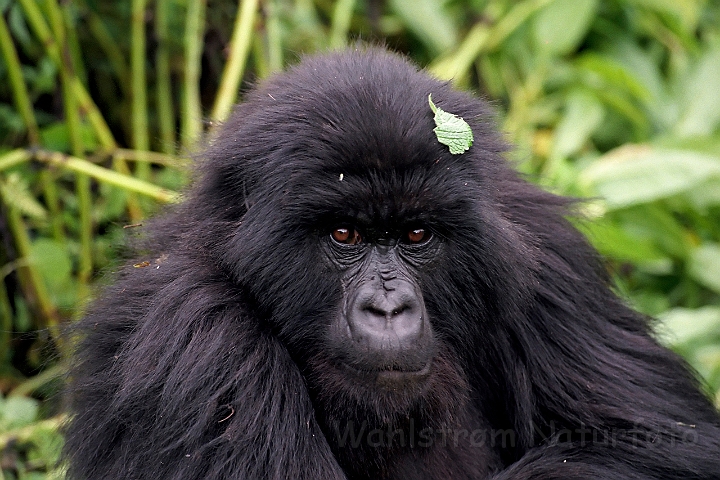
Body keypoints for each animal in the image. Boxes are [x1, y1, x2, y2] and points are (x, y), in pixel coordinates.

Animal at [64, 49, 720, 480]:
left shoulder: (548, 257)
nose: (388, 307)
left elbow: (655, 439)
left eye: (417, 234)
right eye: (344, 234)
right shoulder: (193, 333)